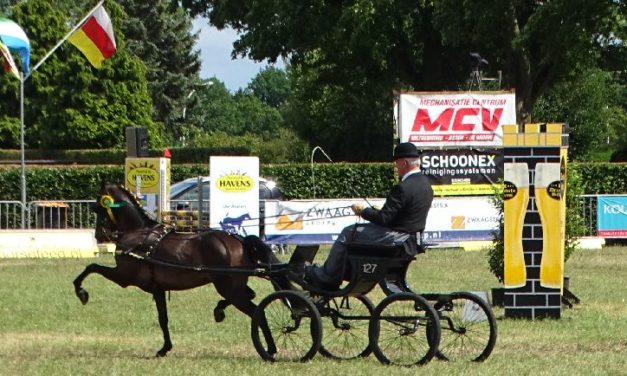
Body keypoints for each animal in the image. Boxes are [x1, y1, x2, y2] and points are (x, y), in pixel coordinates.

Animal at [72, 182, 280, 358]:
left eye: (97, 207)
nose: (99, 235)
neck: (138, 234)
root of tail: (240, 241)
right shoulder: (158, 288)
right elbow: (163, 318)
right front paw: (165, 348)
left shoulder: (123, 277)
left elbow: (91, 267)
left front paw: (81, 292)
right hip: (233, 286)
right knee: (251, 297)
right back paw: (220, 311)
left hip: (229, 287)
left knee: (257, 312)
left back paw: (269, 348)